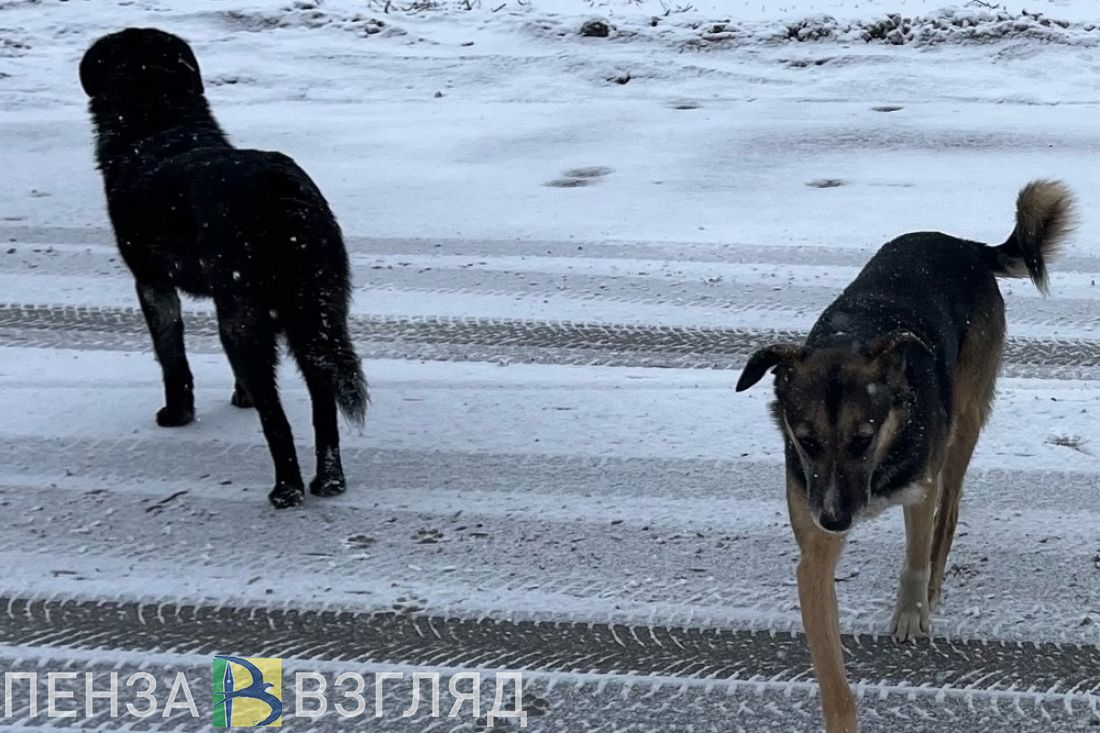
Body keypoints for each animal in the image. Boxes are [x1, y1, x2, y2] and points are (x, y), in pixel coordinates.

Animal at [80, 28, 368, 508]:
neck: (159, 124)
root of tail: (280, 190)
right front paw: (240, 396)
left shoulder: (152, 283)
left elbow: (171, 356)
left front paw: (178, 414)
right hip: (317, 309)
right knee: (322, 402)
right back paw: (329, 481)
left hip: (246, 318)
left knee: (278, 418)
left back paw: (286, 489)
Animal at [735, 180, 1074, 732]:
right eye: (806, 440)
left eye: (863, 437)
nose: (835, 518)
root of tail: (964, 245)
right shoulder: (813, 548)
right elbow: (828, 661)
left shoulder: (920, 485)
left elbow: (916, 550)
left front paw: (913, 609)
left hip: (963, 424)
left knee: (948, 514)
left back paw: (933, 584)